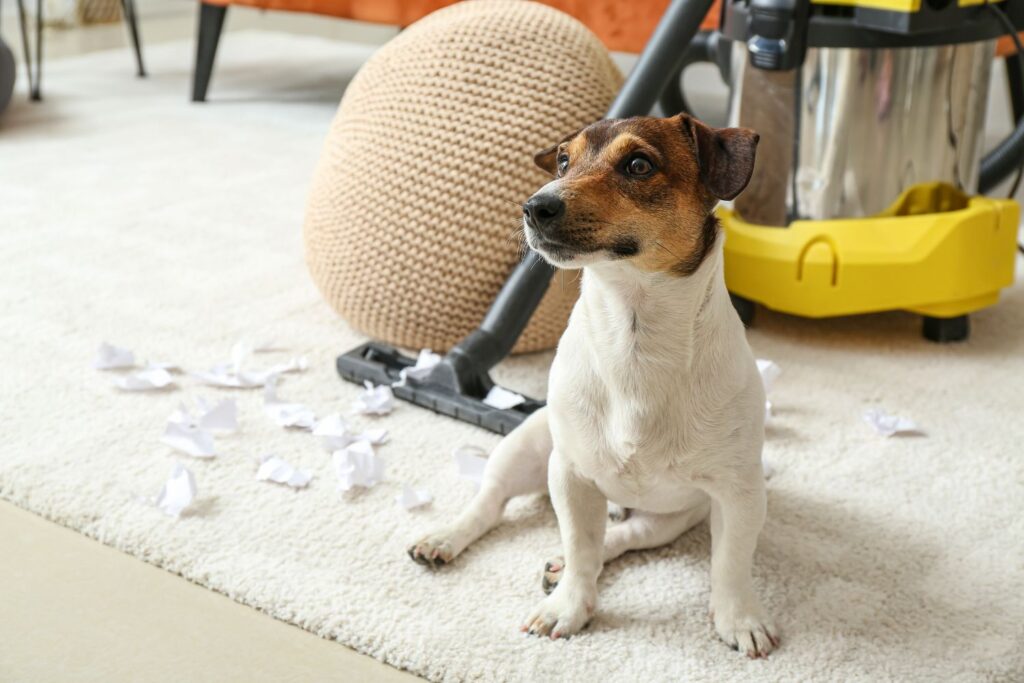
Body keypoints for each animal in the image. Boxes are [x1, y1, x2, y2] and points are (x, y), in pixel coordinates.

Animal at [407, 112, 774, 655]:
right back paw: (445, 538)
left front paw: (739, 619)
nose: (534, 206)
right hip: (528, 447)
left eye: (638, 165)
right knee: (490, 502)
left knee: (622, 536)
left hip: (672, 516)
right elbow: (580, 544)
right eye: (563, 161)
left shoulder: (738, 493)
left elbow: (730, 563)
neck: (633, 334)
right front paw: (568, 607)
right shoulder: (571, 474)